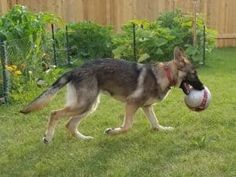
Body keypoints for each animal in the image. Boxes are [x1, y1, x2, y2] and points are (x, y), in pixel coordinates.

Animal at [20, 47, 204, 144]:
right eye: (194, 74)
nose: (202, 88)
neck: (165, 74)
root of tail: (74, 69)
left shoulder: (146, 107)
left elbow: (156, 123)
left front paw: (164, 130)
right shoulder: (131, 104)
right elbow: (127, 126)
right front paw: (112, 131)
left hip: (89, 106)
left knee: (70, 125)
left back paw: (83, 138)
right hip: (84, 105)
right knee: (55, 113)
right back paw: (48, 137)